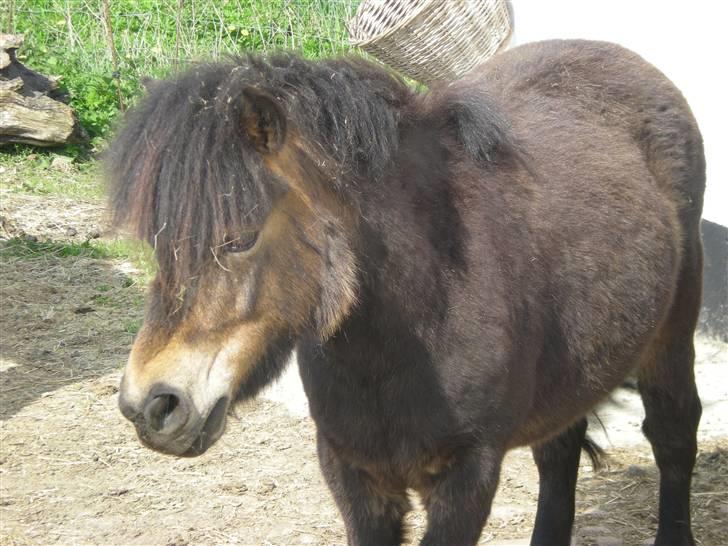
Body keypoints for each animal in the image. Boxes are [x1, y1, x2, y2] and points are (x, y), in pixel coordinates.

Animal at [108, 41, 704, 544]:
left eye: (241, 238)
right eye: (156, 241)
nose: (149, 406)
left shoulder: (468, 478)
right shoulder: (353, 474)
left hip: (672, 333)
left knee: (673, 433)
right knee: (559, 454)